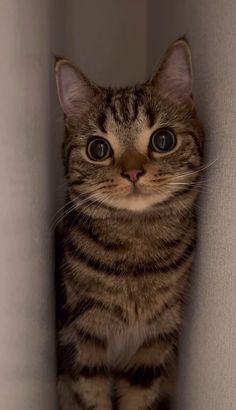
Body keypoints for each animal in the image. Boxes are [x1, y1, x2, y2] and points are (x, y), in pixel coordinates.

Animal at [54, 36, 203, 410]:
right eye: (98, 148)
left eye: (163, 140)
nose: (133, 172)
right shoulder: (83, 341)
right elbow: (92, 398)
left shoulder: (154, 344)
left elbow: (139, 398)